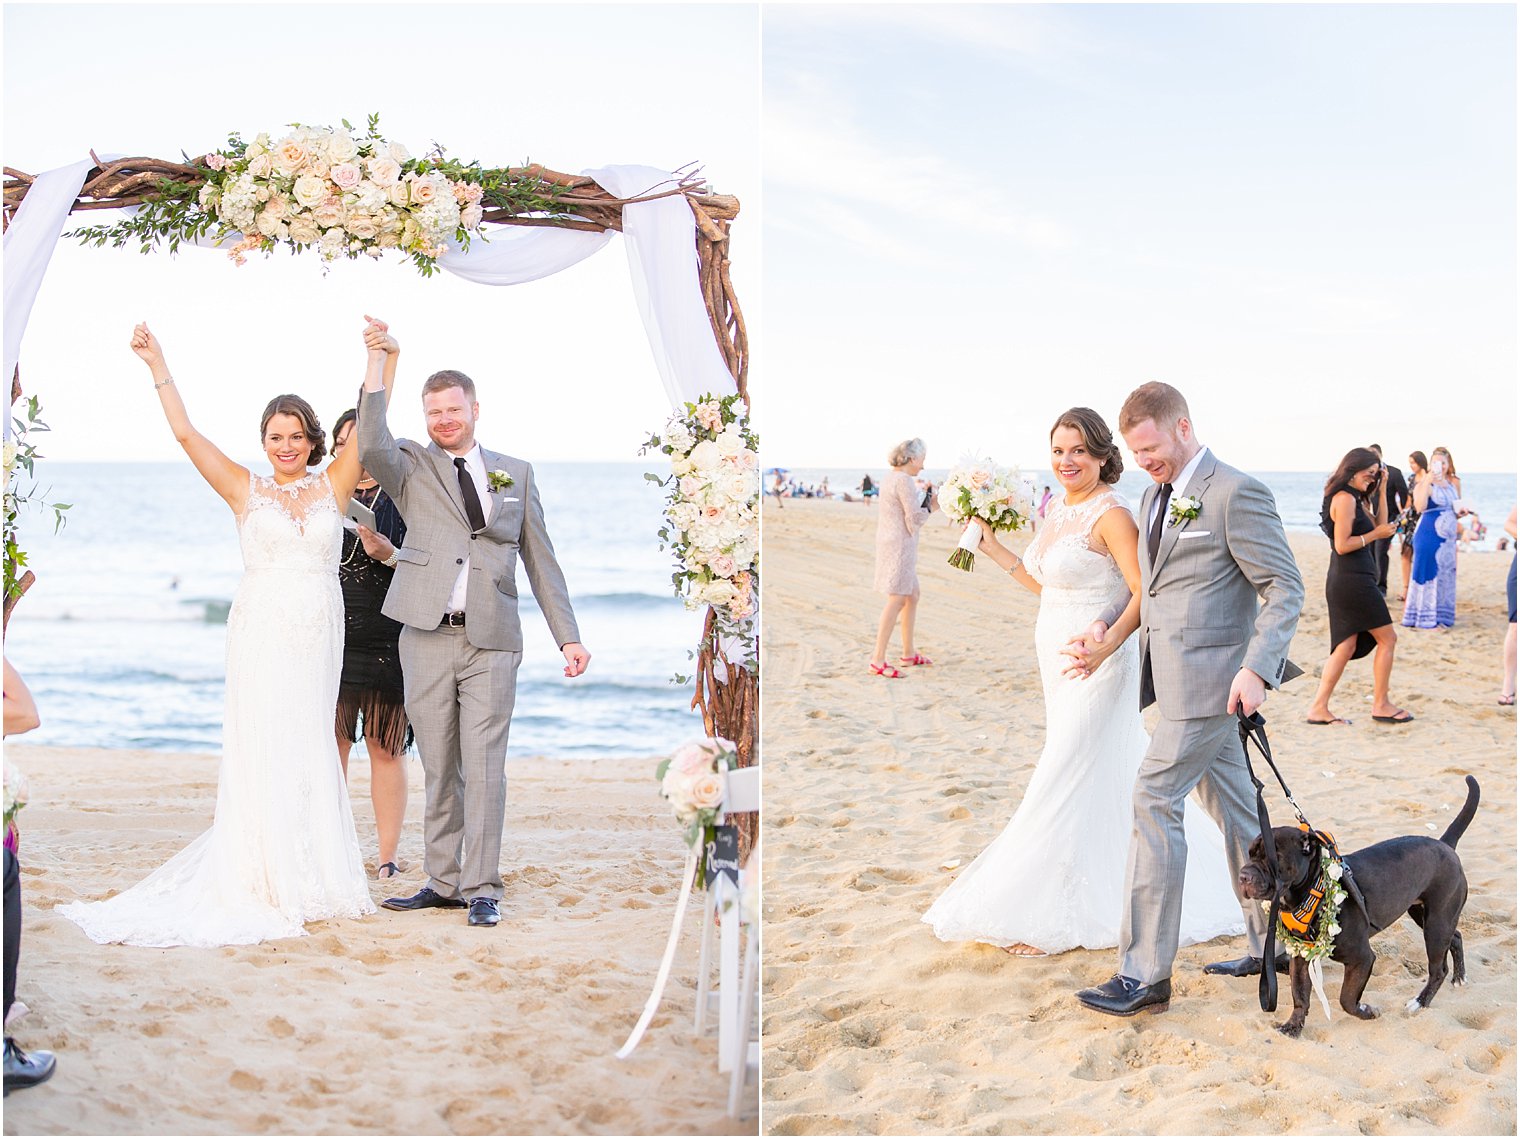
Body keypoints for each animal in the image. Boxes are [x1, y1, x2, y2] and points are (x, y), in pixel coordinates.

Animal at [1240, 778, 1477, 1034]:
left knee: (1438, 969)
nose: (1243, 876)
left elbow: (1346, 998)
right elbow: (1300, 995)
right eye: (1250, 854)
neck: (1314, 892)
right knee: (1456, 937)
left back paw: (1420, 1002)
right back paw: (1459, 977)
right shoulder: (1300, 957)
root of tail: (1445, 845)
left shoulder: (1362, 958)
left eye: (1274, 858)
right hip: (1426, 915)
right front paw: (1293, 1026)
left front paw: (1367, 1011)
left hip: (1436, 924)